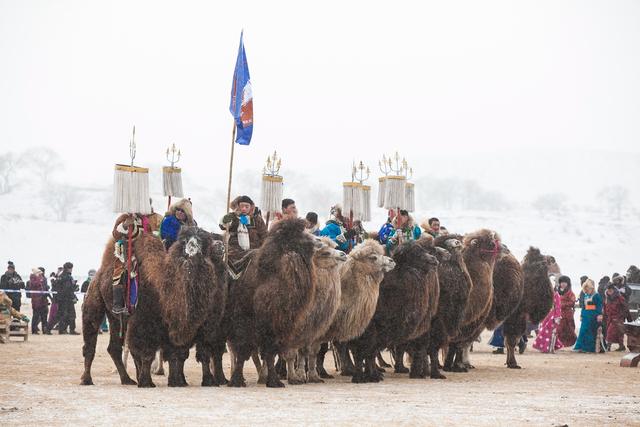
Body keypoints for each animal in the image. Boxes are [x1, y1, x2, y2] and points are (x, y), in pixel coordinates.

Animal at [80, 216, 165, 386]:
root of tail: (97, 276)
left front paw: (144, 378)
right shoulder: (140, 319)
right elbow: (141, 350)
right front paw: (146, 381)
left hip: (114, 317)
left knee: (114, 347)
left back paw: (127, 379)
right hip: (94, 304)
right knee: (90, 343)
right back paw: (86, 379)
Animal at [126, 227, 226, 388]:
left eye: (203, 243)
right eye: (184, 240)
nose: (192, 249)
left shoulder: (204, 328)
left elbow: (196, 354)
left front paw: (204, 380)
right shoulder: (148, 323)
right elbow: (148, 354)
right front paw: (147, 382)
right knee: (135, 352)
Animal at [228, 219, 322, 390]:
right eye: (297, 234)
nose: (319, 240)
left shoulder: (276, 327)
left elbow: (270, 354)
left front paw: (274, 381)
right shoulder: (245, 324)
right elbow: (243, 352)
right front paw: (237, 381)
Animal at [348, 241, 442, 384]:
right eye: (415, 253)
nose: (433, 259)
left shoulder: (381, 331)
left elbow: (370, 353)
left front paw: (373, 376)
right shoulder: (368, 329)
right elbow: (363, 352)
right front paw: (361, 377)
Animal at [442, 229, 502, 372]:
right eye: (491, 243)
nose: (505, 248)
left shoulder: (466, 325)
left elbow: (458, 346)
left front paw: (458, 365)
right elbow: (455, 345)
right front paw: (454, 367)